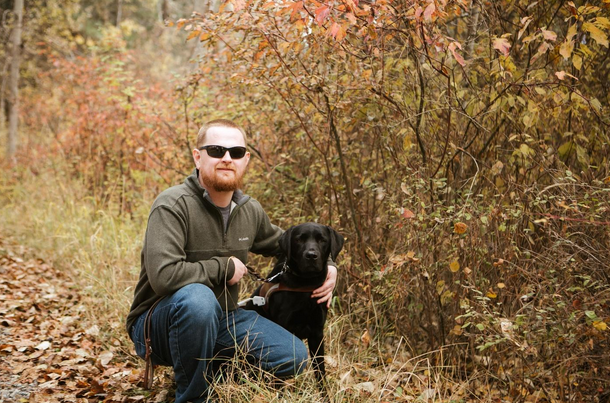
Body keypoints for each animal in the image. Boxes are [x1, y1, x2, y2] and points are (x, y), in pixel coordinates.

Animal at [245, 224, 344, 388]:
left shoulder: (317, 333)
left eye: (322, 239)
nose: (311, 255)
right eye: (299, 239)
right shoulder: (284, 327)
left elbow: (320, 371)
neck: (305, 285)